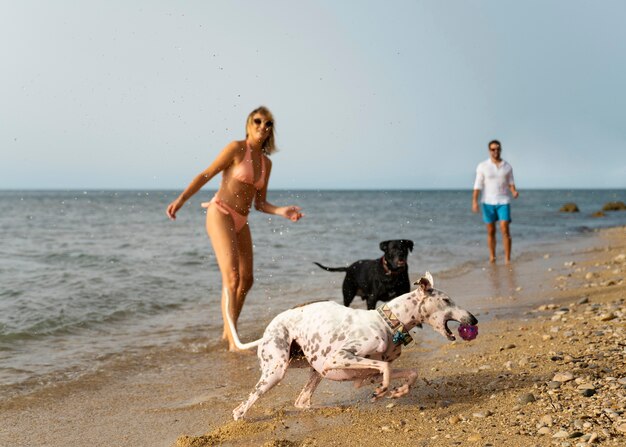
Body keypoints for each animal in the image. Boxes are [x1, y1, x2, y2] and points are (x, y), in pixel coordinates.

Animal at [227, 272, 476, 422]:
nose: (473, 319)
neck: (388, 322)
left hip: (315, 371)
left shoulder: (365, 372)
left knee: (302, 402)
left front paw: (399, 390)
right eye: (446, 300)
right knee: (239, 410)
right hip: (277, 371)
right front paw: (382, 391)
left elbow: (410, 371)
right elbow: (385, 368)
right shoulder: (338, 357)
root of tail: (265, 334)